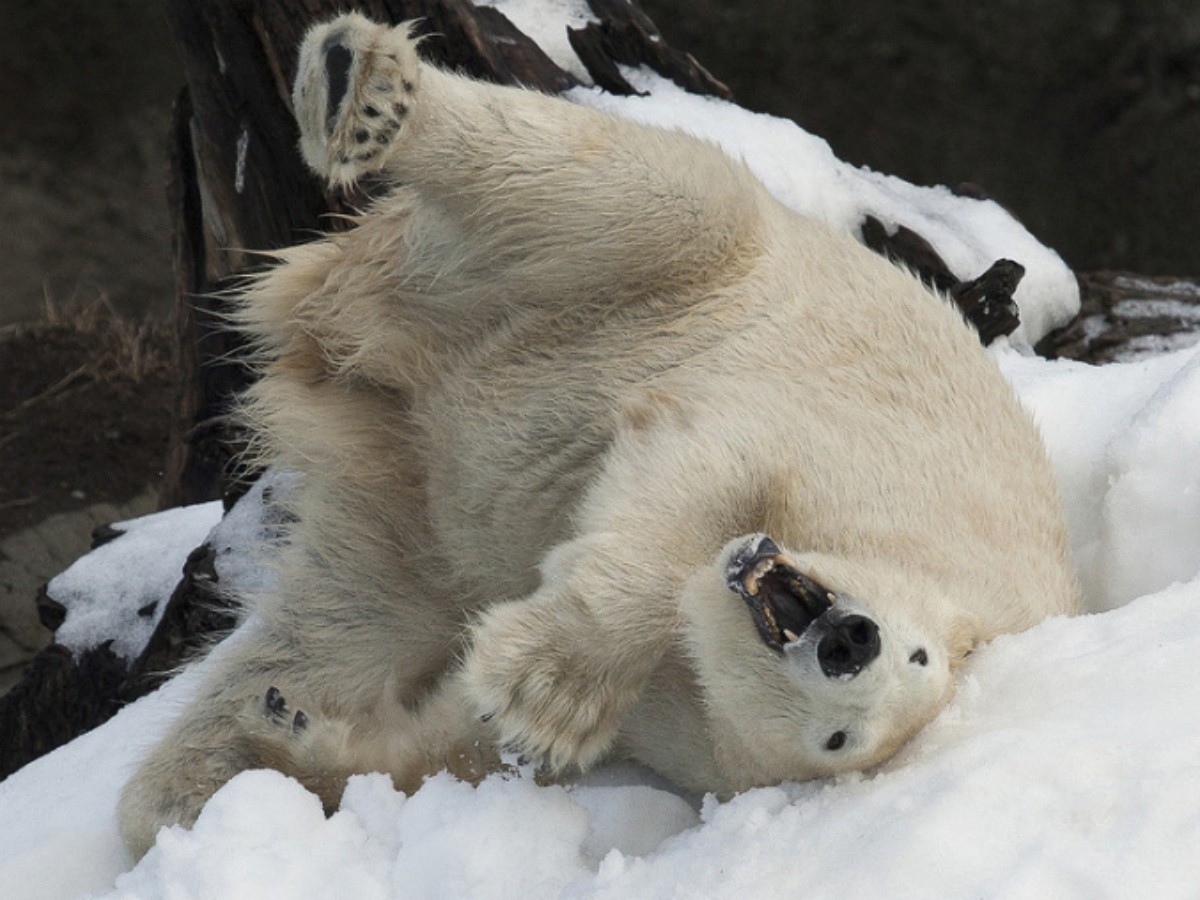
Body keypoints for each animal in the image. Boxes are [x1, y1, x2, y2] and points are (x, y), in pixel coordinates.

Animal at [117, 12, 1084, 859]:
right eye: (914, 649)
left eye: (843, 738)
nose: (850, 640)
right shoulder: (869, 468)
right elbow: (698, 463)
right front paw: (549, 680)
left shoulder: (681, 731)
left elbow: (459, 739)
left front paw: (302, 737)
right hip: (652, 272)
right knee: (634, 187)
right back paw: (365, 88)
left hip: (409, 512)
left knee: (339, 620)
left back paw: (187, 786)